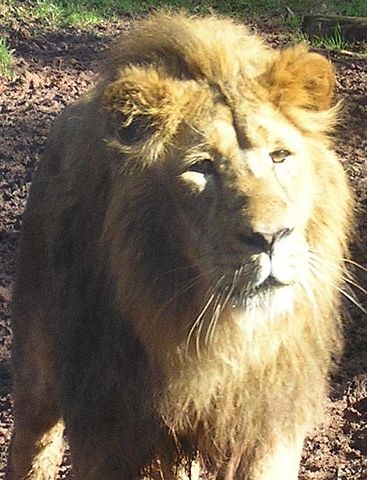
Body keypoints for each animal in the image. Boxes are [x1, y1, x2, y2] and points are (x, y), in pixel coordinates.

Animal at [7, 11, 356, 480]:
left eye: (280, 156)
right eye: (201, 167)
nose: (271, 237)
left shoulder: (268, 427)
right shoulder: (110, 431)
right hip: (36, 370)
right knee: (32, 443)